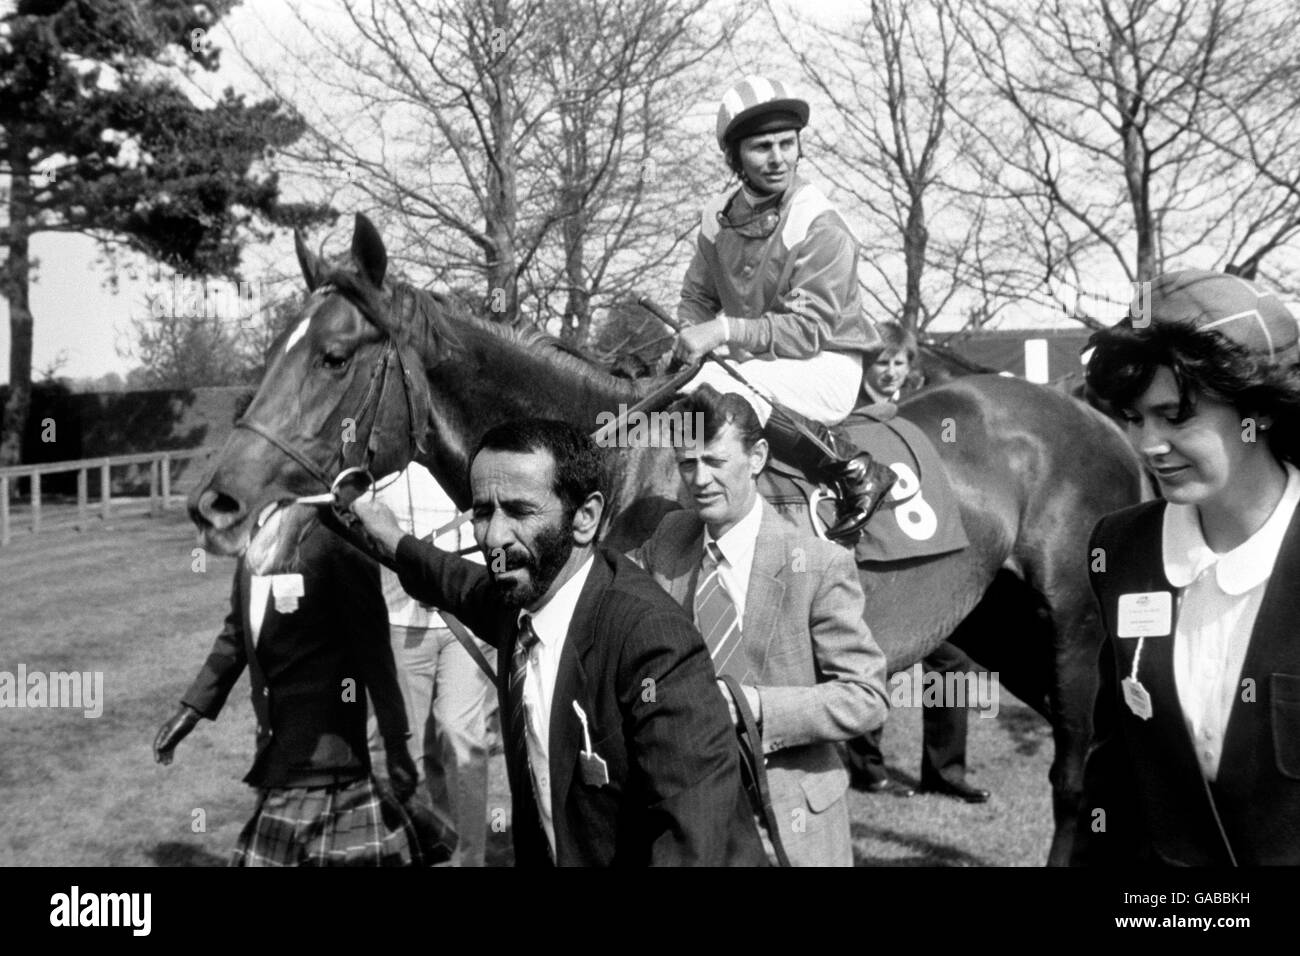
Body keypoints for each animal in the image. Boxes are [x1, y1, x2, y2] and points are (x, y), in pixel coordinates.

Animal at [185, 217, 1149, 868]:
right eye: (275, 352)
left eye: (334, 358)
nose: (215, 503)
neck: (608, 465)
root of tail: (1097, 420)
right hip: (1004, 626)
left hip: (1071, 626)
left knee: (1074, 772)